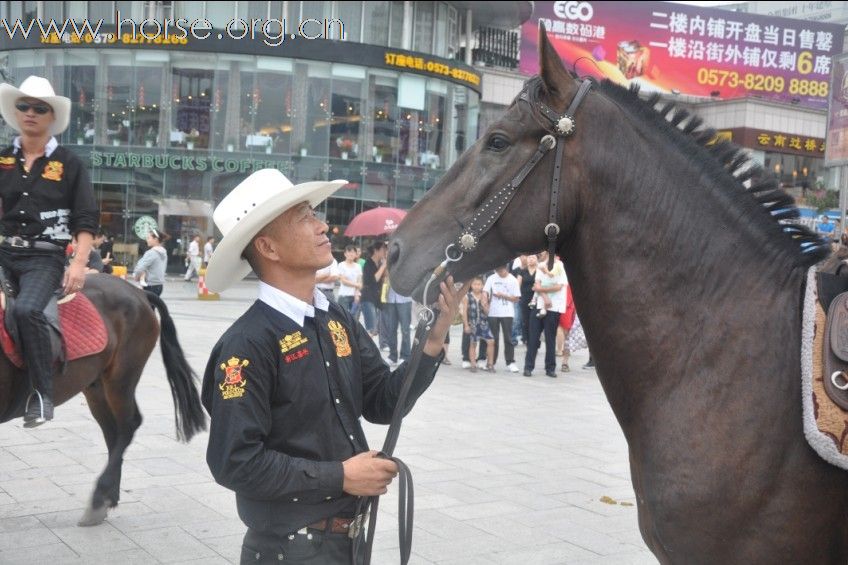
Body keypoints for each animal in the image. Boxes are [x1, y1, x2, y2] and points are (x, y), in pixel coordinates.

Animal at [0, 274, 207, 524]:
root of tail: (139, 292)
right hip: (95, 385)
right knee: (112, 431)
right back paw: (109, 497)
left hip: (121, 377)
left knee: (128, 425)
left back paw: (99, 497)